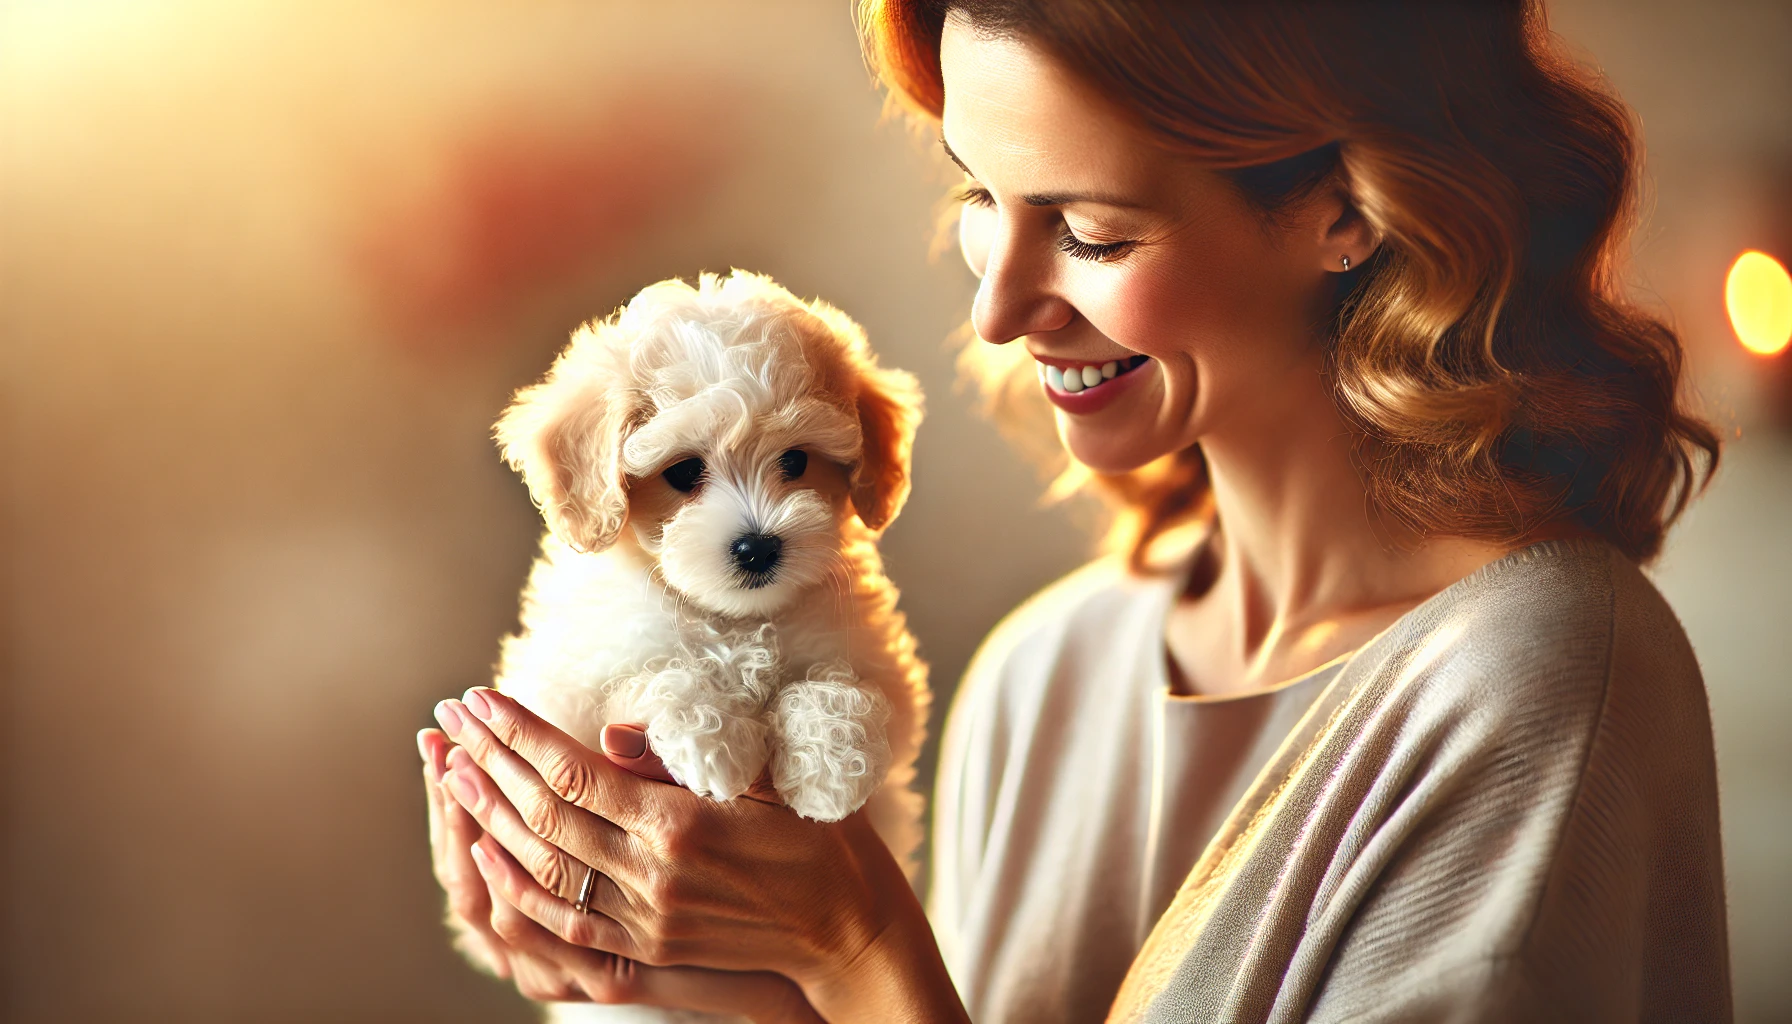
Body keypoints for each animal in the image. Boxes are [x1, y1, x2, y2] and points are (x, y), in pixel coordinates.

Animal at [494, 267, 931, 875]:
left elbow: (841, 686)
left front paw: (830, 770)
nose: (758, 548)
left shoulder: (873, 658)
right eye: (683, 472)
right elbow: (656, 672)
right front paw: (715, 743)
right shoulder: (577, 678)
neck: (737, 619)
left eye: (795, 461)